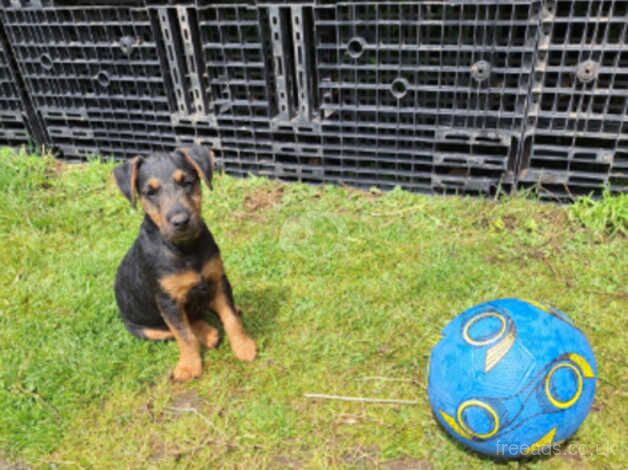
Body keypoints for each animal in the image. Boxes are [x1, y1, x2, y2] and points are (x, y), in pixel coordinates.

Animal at [112, 147, 255, 382]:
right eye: (150, 192)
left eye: (187, 182)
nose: (180, 221)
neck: (185, 249)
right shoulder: (167, 300)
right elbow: (183, 335)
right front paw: (189, 367)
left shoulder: (218, 279)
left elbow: (231, 318)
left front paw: (243, 347)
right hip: (144, 329)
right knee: (181, 326)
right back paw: (208, 333)